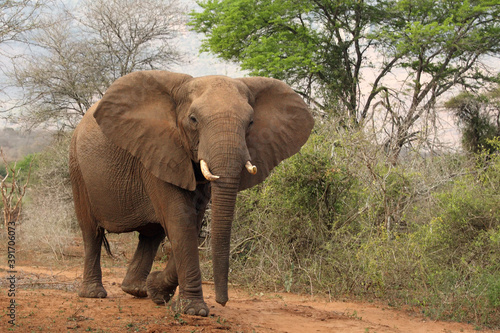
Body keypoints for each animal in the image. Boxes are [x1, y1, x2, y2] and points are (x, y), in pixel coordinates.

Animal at [69, 70, 314, 316]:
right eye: (194, 119)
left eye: (251, 122)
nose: (222, 301)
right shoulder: (160, 151)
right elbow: (181, 220)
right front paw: (195, 310)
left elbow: (193, 222)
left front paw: (158, 291)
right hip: (77, 167)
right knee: (91, 231)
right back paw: (94, 293)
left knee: (151, 235)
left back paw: (137, 290)